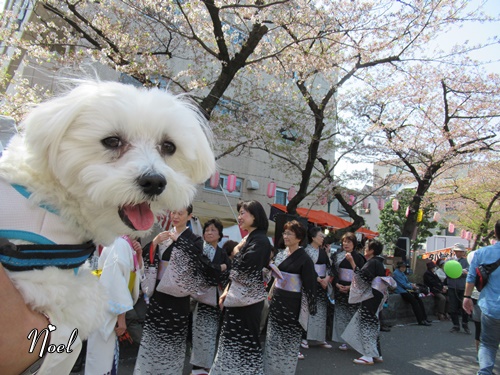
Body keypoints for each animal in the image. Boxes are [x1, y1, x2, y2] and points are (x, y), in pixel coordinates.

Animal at [0, 81, 215, 374]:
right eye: (112, 141)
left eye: (169, 146)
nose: (155, 181)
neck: (53, 197)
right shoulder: (40, 277)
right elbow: (86, 302)